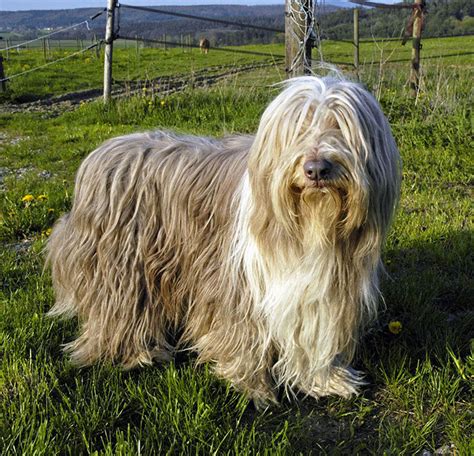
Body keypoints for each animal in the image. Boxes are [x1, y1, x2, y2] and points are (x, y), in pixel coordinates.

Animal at [47, 75, 400, 406]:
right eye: (297, 129)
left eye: (340, 126)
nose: (316, 169)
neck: (311, 225)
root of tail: (101, 152)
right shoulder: (238, 286)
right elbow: (244, 335)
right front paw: (252, 386)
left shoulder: (321, 294)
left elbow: (312, 336)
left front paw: (325, 380)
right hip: (122, 265)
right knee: (120, 308)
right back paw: (136, 353)